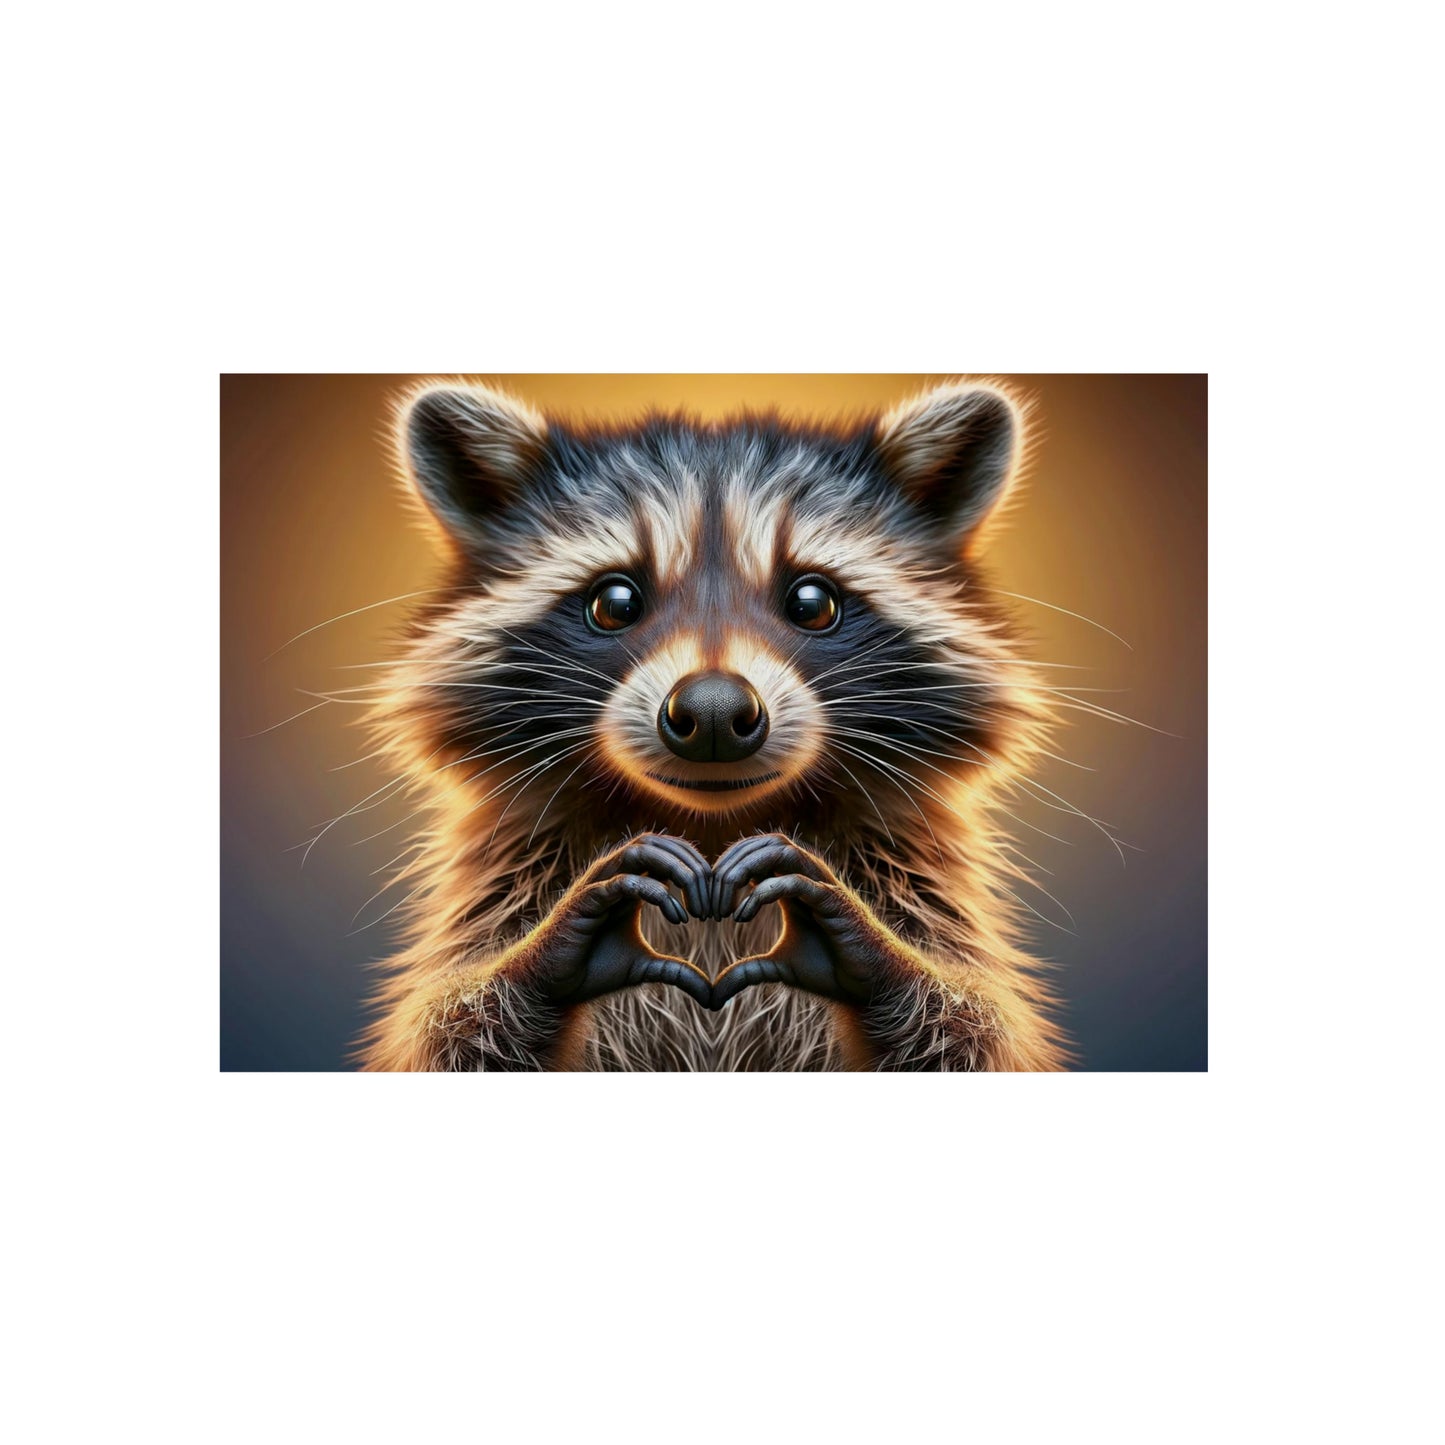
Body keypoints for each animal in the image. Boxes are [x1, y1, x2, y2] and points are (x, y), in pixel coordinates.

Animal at [357, 379, 1069, 1070]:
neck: (712, 828)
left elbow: (974, 1033)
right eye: (615, 602)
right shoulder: (508, 872)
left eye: (813, 602)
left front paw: (868, 947)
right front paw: (551, 949)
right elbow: (450, 1034)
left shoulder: (914, 872)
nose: (714, 714)